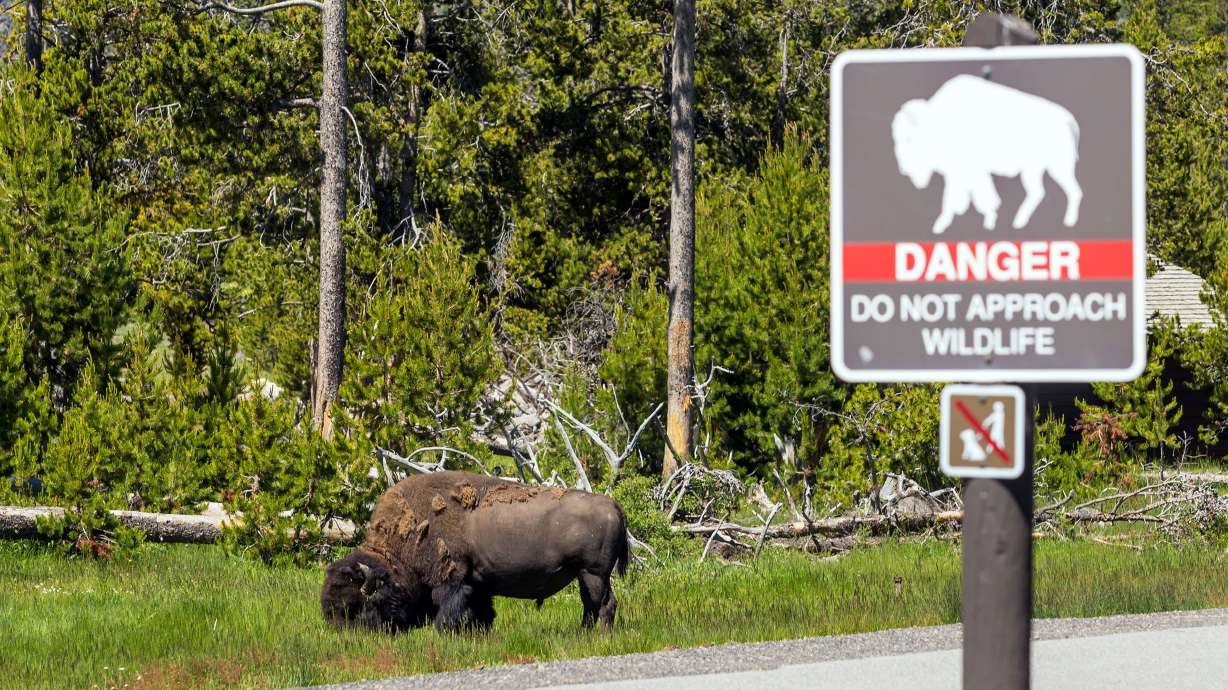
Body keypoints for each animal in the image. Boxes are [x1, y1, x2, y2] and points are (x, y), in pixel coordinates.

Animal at [321, 470, 629, 633]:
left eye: (354, 607)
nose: (341, 634)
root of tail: (612, 504)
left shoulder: (452, 580)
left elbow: (450, 609)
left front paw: (447, 631)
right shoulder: (477, 582)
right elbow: (481, 608)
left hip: (592, 574)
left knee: (602, 604)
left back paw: (596, 634)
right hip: (586, 575)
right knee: (593, 604)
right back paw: (584, 632)